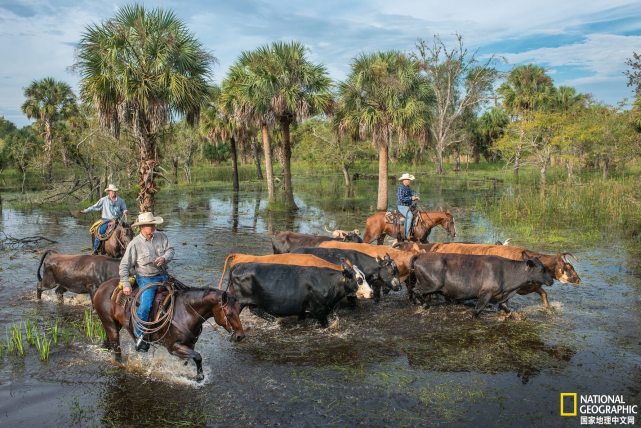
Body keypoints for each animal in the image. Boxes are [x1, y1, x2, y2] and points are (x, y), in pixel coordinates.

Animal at [92, 278, 245, 382]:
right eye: (229, 314)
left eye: (239, 311)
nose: (240, 336)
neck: (186, 311)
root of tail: (102, 287)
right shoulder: (173, 346)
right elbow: (197, 356)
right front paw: (199, 377)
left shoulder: (189, 345)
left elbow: (187, 360)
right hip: (110, 324)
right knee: (117, 351)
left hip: (114, 324)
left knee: (108, 342)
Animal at [226, 260, 364, 328]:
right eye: (359, 280)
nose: (369, 292)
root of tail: (238, 265)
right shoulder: (319, 310)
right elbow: (325, 325)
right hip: (239, 301)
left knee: (255, 310)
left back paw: (275, 320)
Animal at [408, 252, 552, 316]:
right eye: (542, 269)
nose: (551, 281)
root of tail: (419, 256)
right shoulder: (485, 294)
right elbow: (477, 311)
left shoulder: (502, 297)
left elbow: (508, 310)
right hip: (433, 284)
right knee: (416, 291)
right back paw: (424, 305)